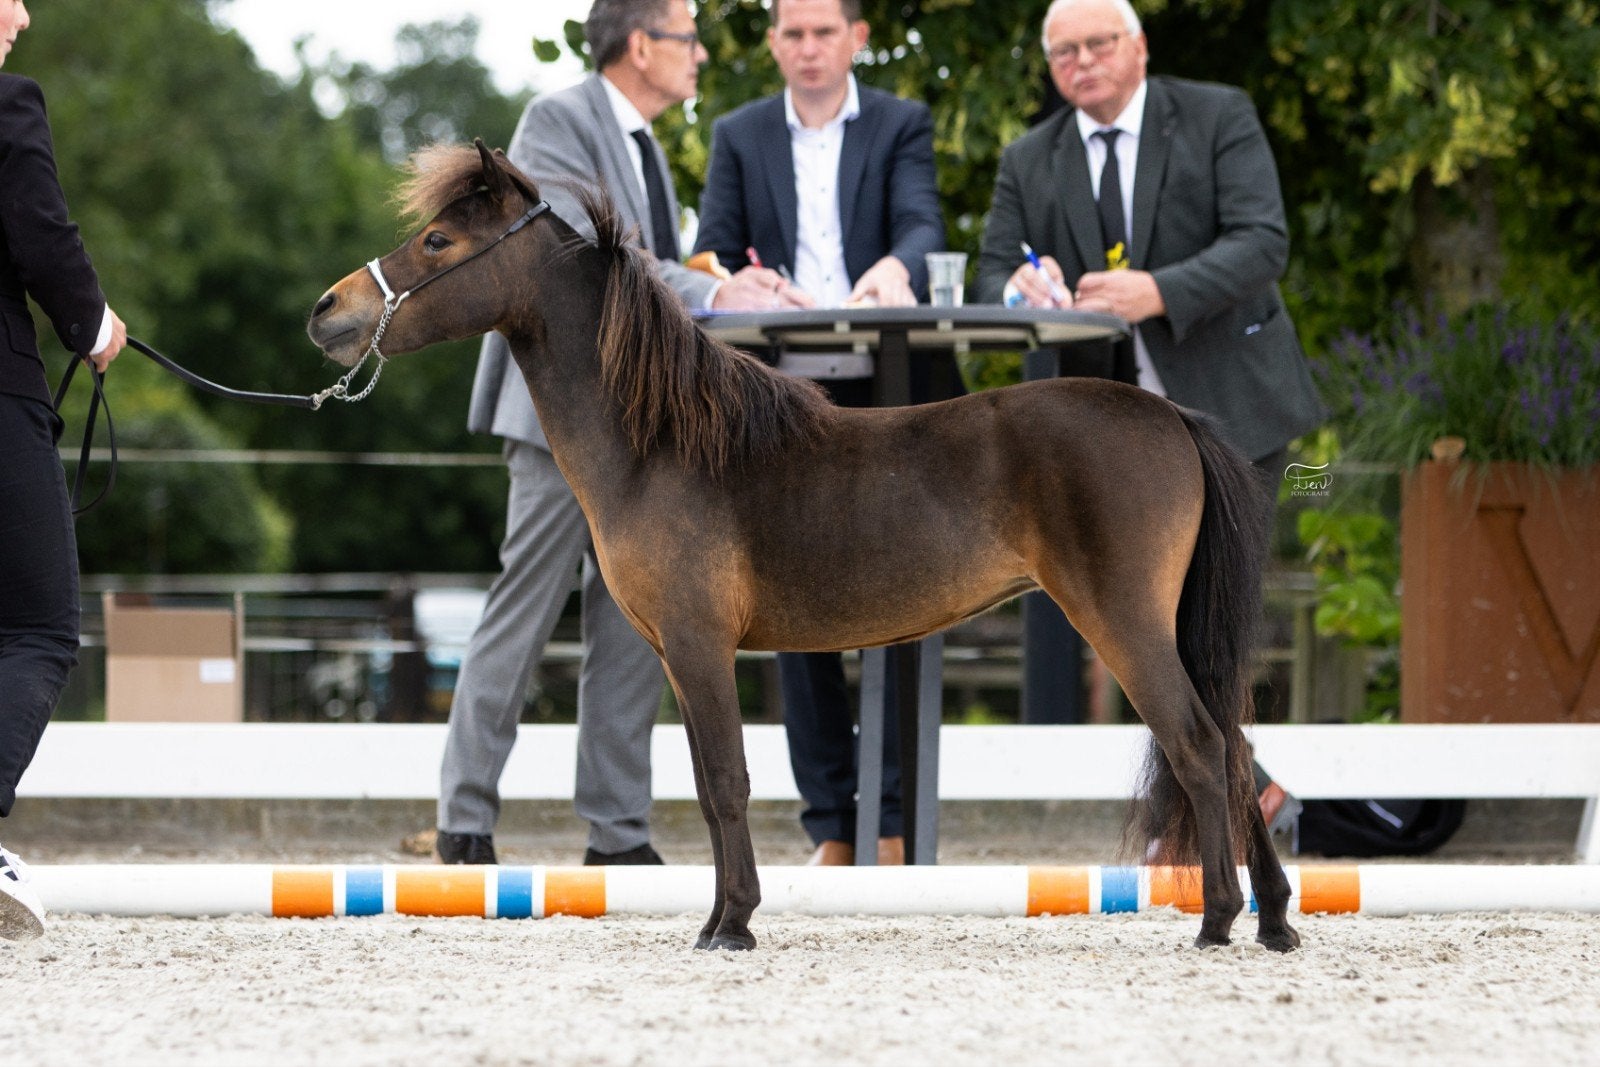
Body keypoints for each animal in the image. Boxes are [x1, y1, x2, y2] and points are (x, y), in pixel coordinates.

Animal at [307, 140, 1298, 954]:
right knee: (1234, 747)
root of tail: (1172, 416)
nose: (328, 311)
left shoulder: (701, 646)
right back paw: (1276, 918)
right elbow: (709, 781)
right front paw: (718, 916)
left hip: (1126, 623)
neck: (660, 440)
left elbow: (726, 781)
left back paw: (1219, 918)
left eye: (438, 241)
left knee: (1200, 745)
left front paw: (732, 925)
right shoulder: (679, 656)